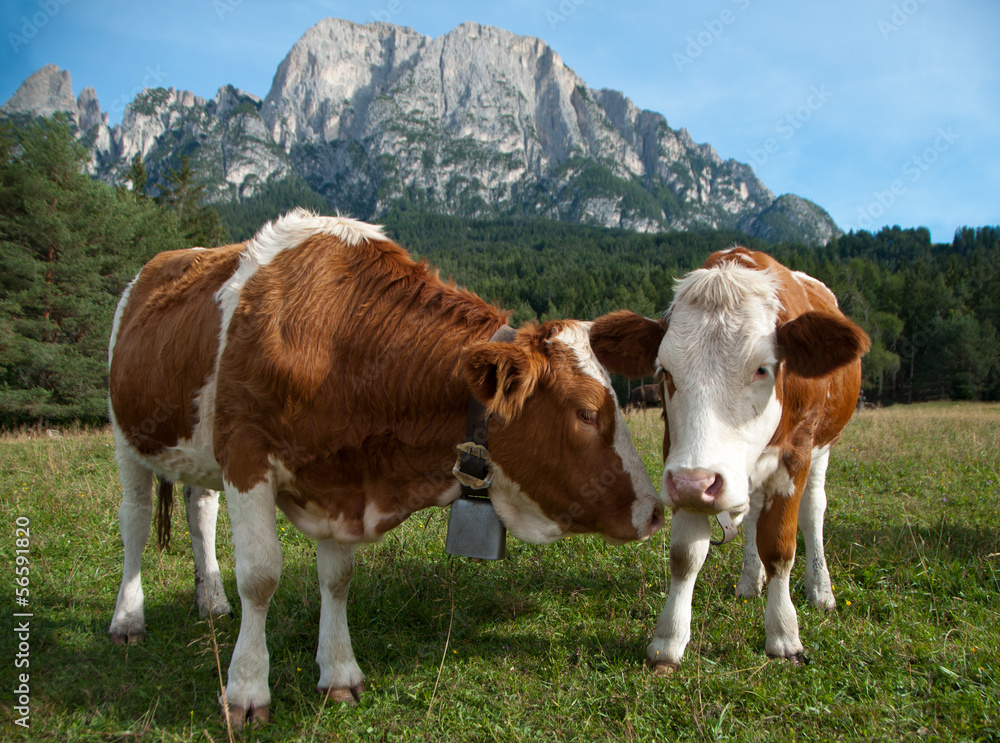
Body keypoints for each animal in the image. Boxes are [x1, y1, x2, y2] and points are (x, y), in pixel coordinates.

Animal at [107, 209, 663, 728]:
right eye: (586, 413)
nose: (654, 511)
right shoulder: (246, 455)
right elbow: (261, 576)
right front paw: (245, 691)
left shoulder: (339, 480)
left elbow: (337, 578)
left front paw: (338, 673)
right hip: (126, 438)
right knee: (135, 522)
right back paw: (128, 619)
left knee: (200, 512)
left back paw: (212, 602)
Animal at [589, 247, 869, 671]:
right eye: (665, 371)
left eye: (762, 369)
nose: (696, 483)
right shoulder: (683, 462)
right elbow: (686, 554)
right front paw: (668, 640)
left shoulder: (794, 457)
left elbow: (780, 546)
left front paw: (784, 634)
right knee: (752, 512)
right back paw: (750, 580)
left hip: (823, 448)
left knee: (813, 510)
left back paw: (820, 589)